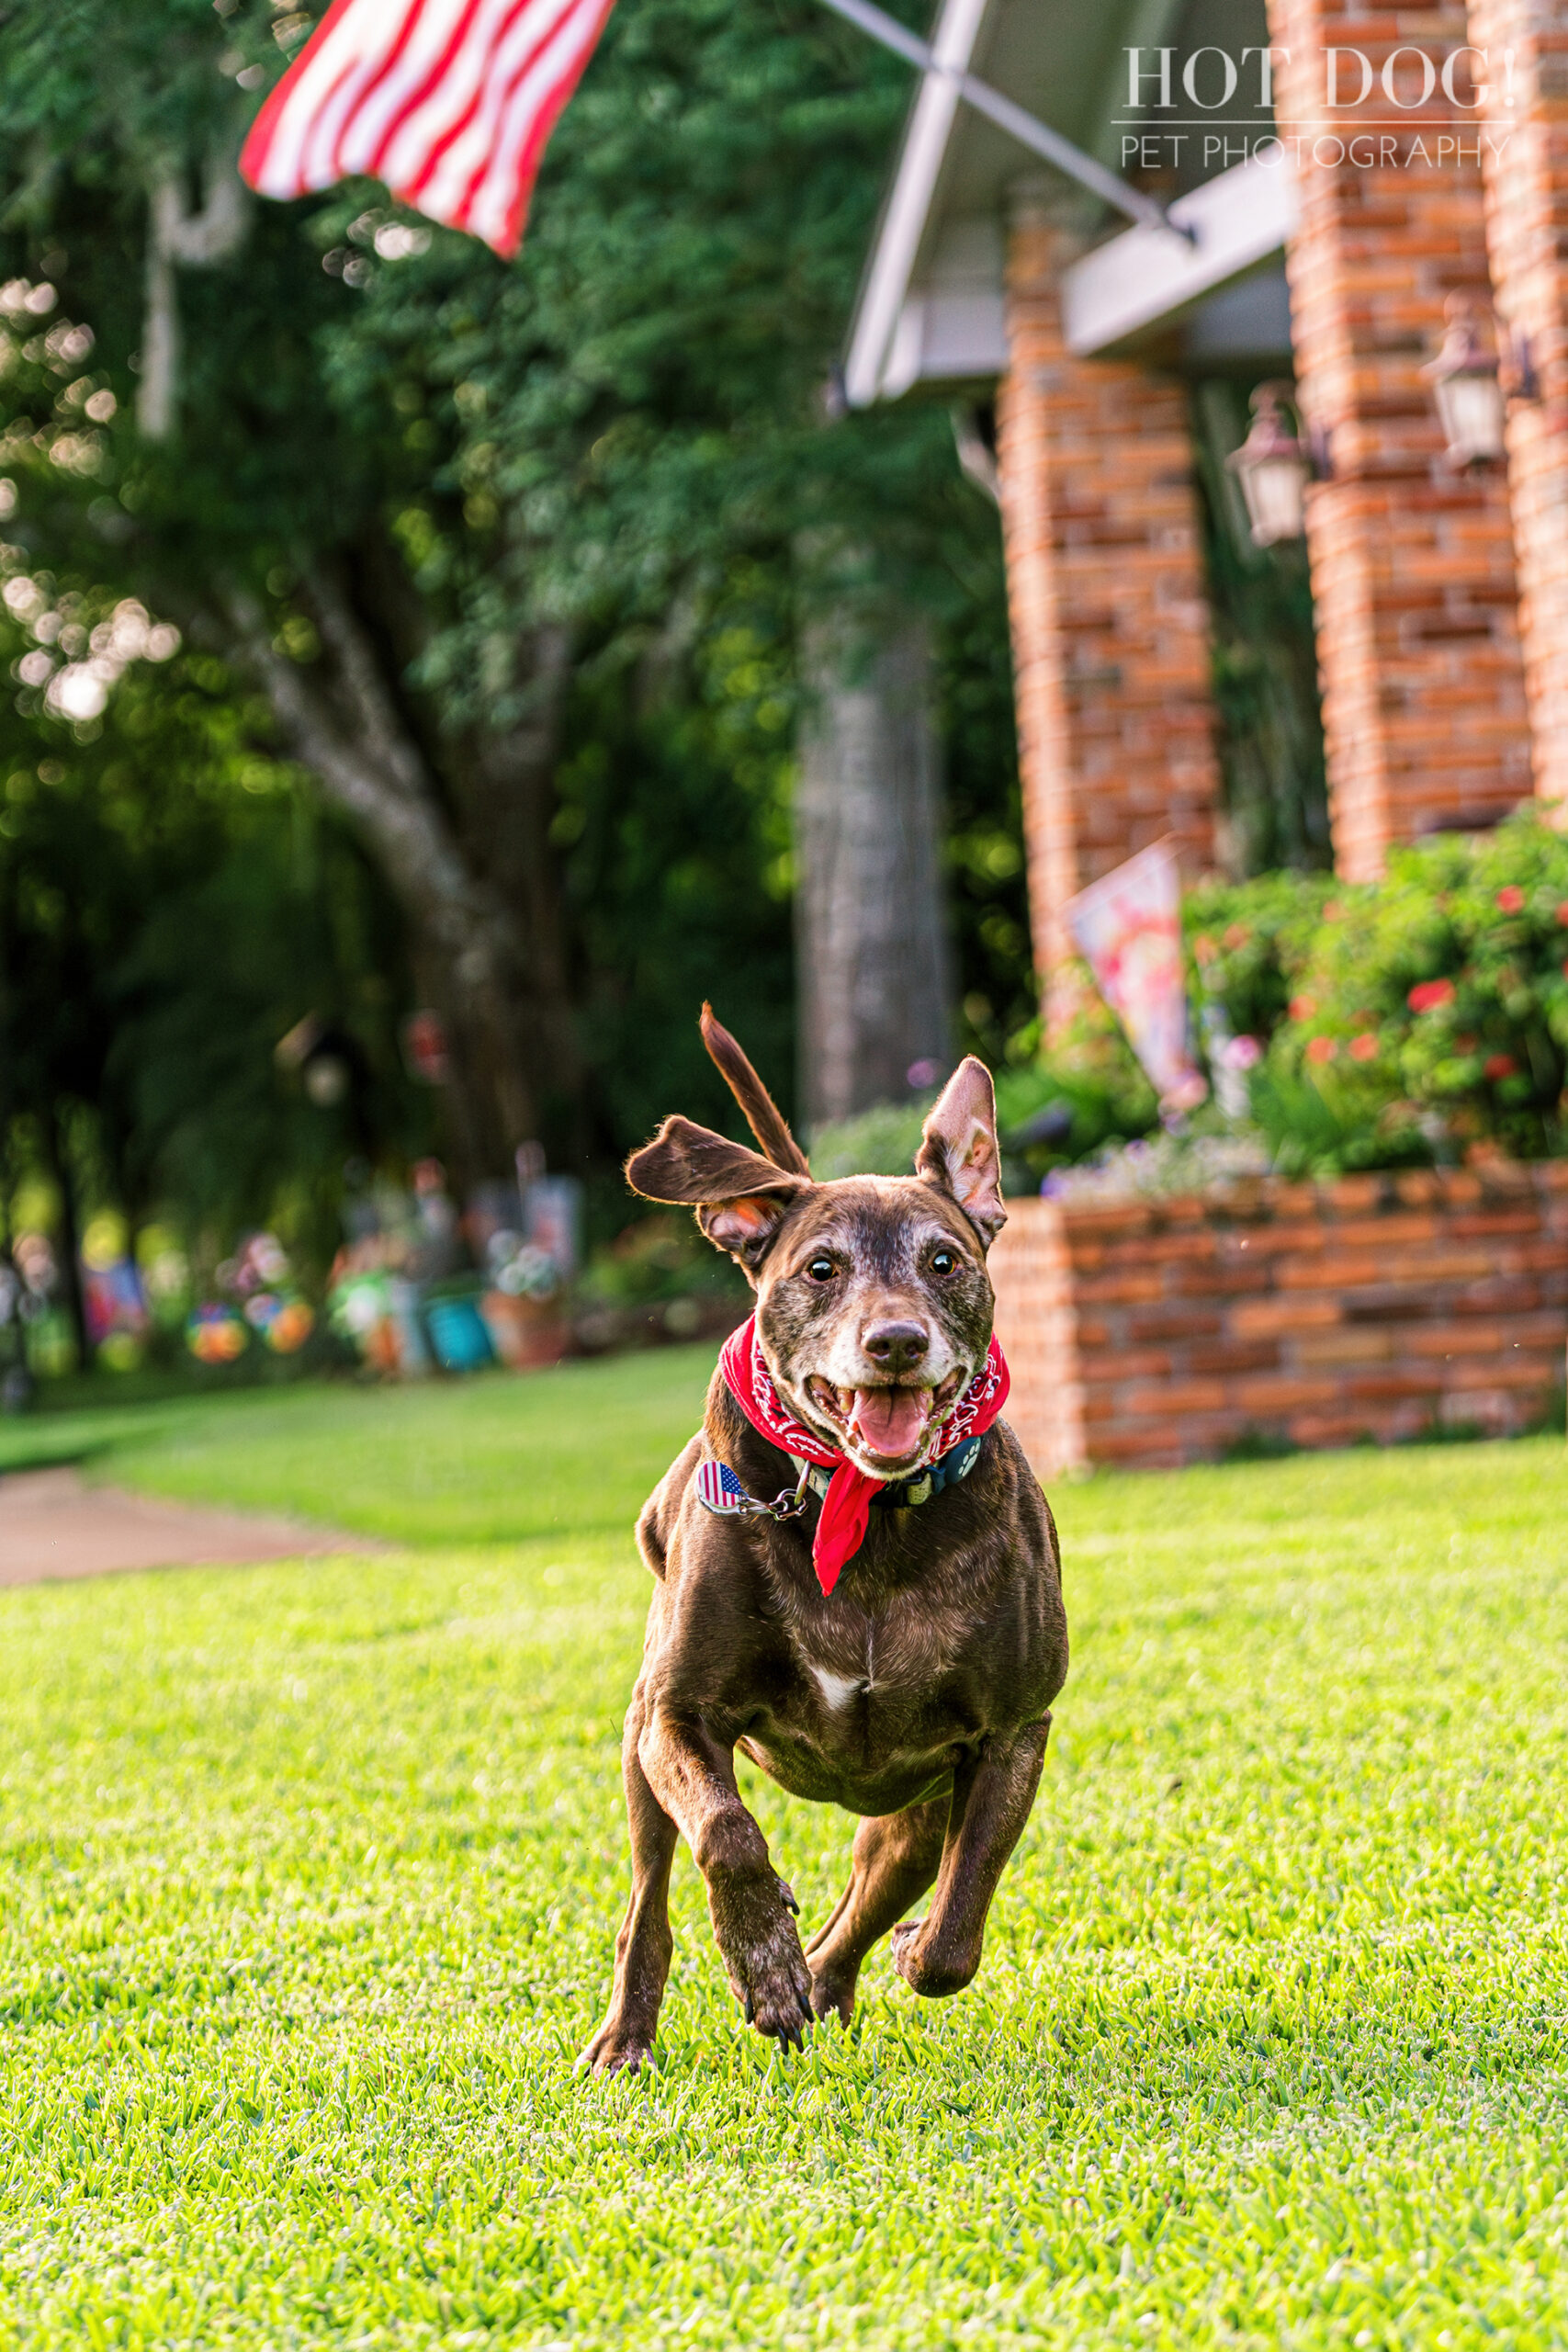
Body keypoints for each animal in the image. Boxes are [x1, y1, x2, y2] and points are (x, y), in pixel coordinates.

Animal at [582, 1001, 1072, 2069]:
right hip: (640, 1747)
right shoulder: (679, 1714)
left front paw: (883, 1956)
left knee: (872, 1904)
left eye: (943, 1260)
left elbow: (957, 1932)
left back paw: (832, 1979)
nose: (895, 1342)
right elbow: (728, 1836)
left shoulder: (1012, 1733)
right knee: (650, 1898)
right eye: (821, 1267)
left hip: (910, 1813)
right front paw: (759, 1957)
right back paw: (632, 2032)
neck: (868, 1513)